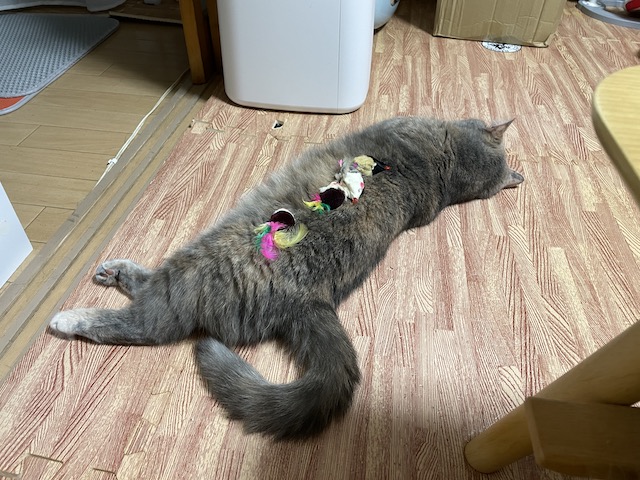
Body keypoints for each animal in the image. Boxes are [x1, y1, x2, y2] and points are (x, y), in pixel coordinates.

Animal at [49, 116, 524, 440]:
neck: (444, 164)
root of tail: (310, 301)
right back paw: (113, 271)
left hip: (202, 255)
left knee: (148, 321)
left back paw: (72, 316)